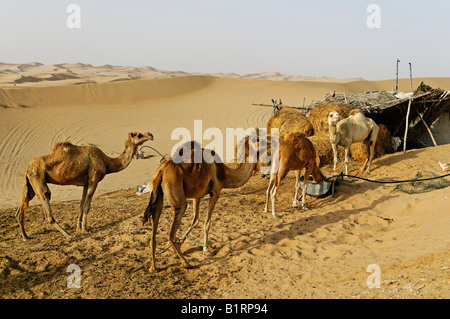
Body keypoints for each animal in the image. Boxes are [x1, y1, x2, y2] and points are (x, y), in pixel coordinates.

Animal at [16, 132, 153, 240]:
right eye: (139, 135)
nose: (151, 135)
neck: (106, 162)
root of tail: (28, 167)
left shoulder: (85, 183)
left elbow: (81, 205)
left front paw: (78, 228)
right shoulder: (93, 180)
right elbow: (87, 206)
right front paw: (85, 229)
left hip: (30, 183)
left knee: (22, 207)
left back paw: (25, 236)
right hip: (38, 177)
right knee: (46, 202)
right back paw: (68, 235)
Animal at [142, 141, 258, 274]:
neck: (224, 174)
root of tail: (161, 172)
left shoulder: (197, 195)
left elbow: (195, 220)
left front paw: (181, 242)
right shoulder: (215, 192)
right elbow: (207, 223)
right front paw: (206, 250)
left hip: (156, 195)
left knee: (154, 224)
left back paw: (153, 267)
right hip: (179, 200)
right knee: (171, 233)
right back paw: (186, 263)